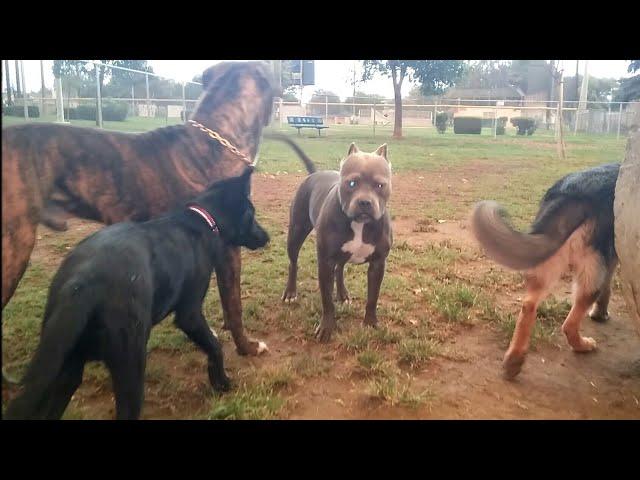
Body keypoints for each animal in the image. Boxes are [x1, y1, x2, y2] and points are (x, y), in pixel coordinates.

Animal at [3, 169, 268, 420]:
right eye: (252, 213)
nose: (267, 236)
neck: (202, 218)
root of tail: (81, 283)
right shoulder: (190, 314)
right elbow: (214, 346)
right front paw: (221, 382)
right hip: (130, 362)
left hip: (65, 368)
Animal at [272, 136, 392, 342]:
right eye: (352, 183)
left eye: (380, 185)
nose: (365, 202)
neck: (359, 224)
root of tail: (315, 173)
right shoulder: (325, 263)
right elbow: (327, 299)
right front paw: (327, 327)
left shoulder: (378, 264)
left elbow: (372, 297)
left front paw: (370, 323)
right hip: (295, 233)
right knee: (293, 263)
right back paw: (290, 292)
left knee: (340, 268)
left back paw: (342, 294)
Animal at [470, 163, 620, 380]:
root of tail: (576, 191)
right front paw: (600, 314)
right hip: (590, 269)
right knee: (570, 323)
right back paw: (582, 345)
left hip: (550, 259)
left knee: (528, 305)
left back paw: (514, 360)